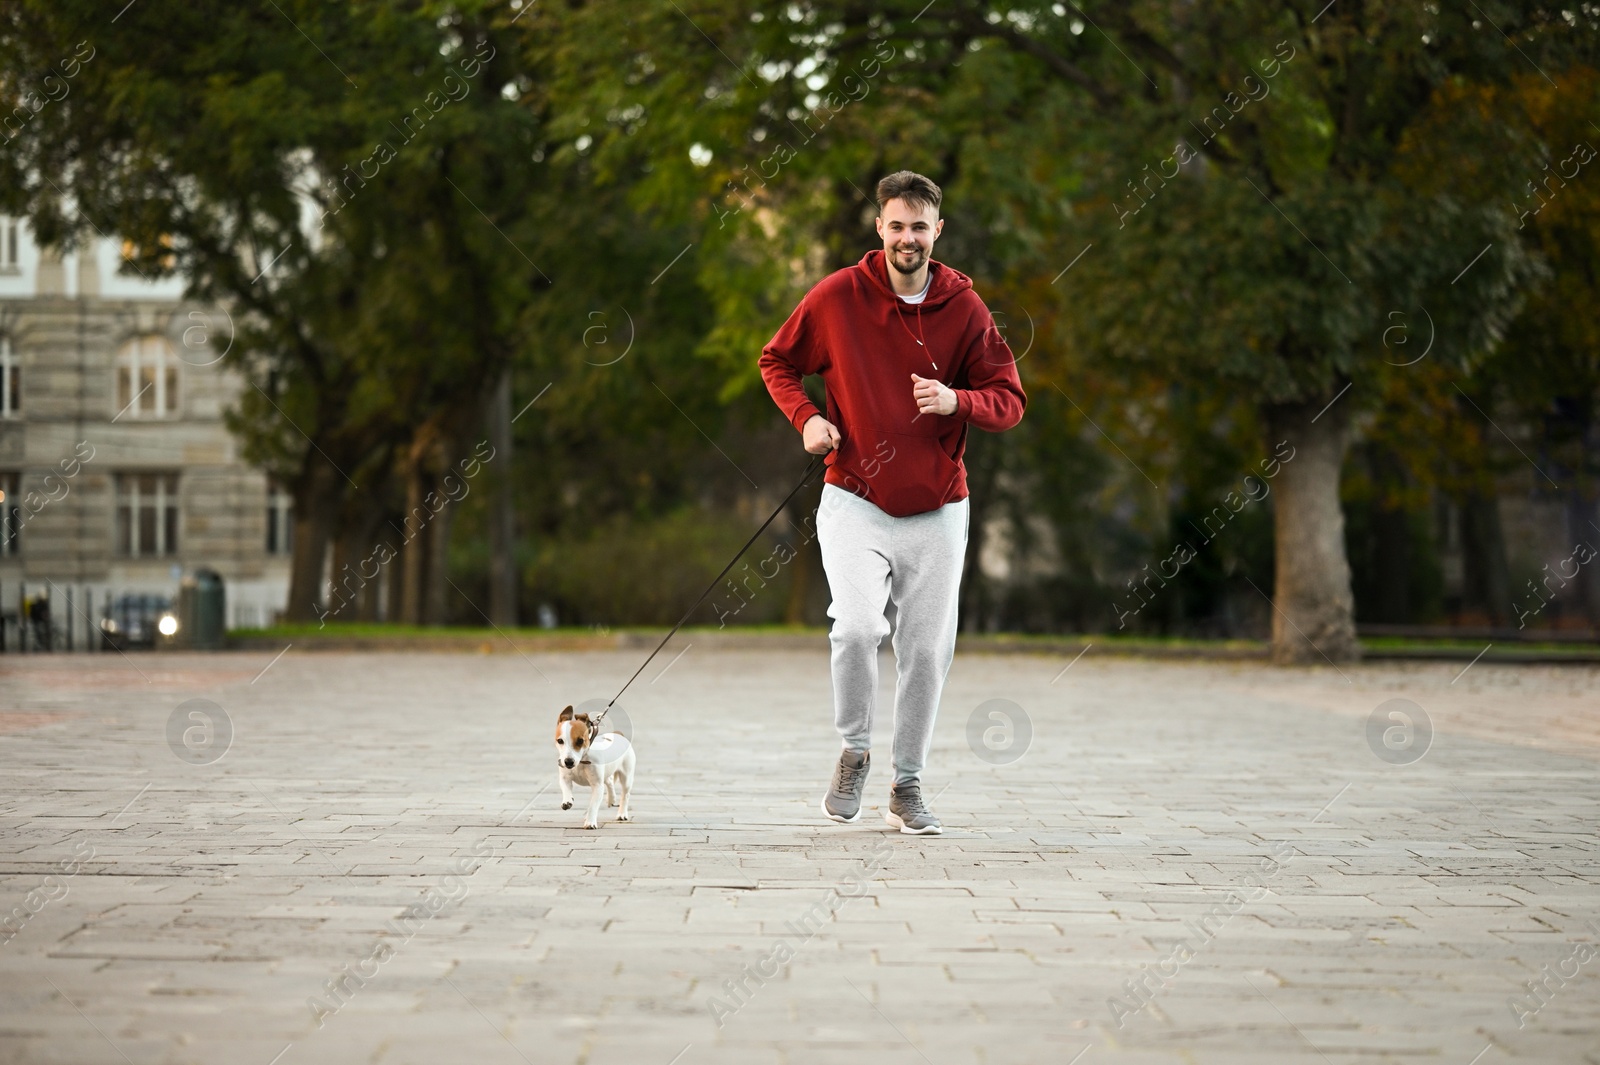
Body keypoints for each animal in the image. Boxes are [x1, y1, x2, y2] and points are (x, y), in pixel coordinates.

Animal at [553, 703, 633, 831]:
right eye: (560, 741)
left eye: (580, 741)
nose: (569, 762)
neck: (582, 761)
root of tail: (618, 734)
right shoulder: (565, 778)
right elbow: (566, 789)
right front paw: (567, 801)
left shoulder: (597, 786)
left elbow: (593, 805)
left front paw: (590, 822)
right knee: (609, 781)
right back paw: (611, 799)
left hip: (627, 777)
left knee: (625, 795)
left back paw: (622, 814)